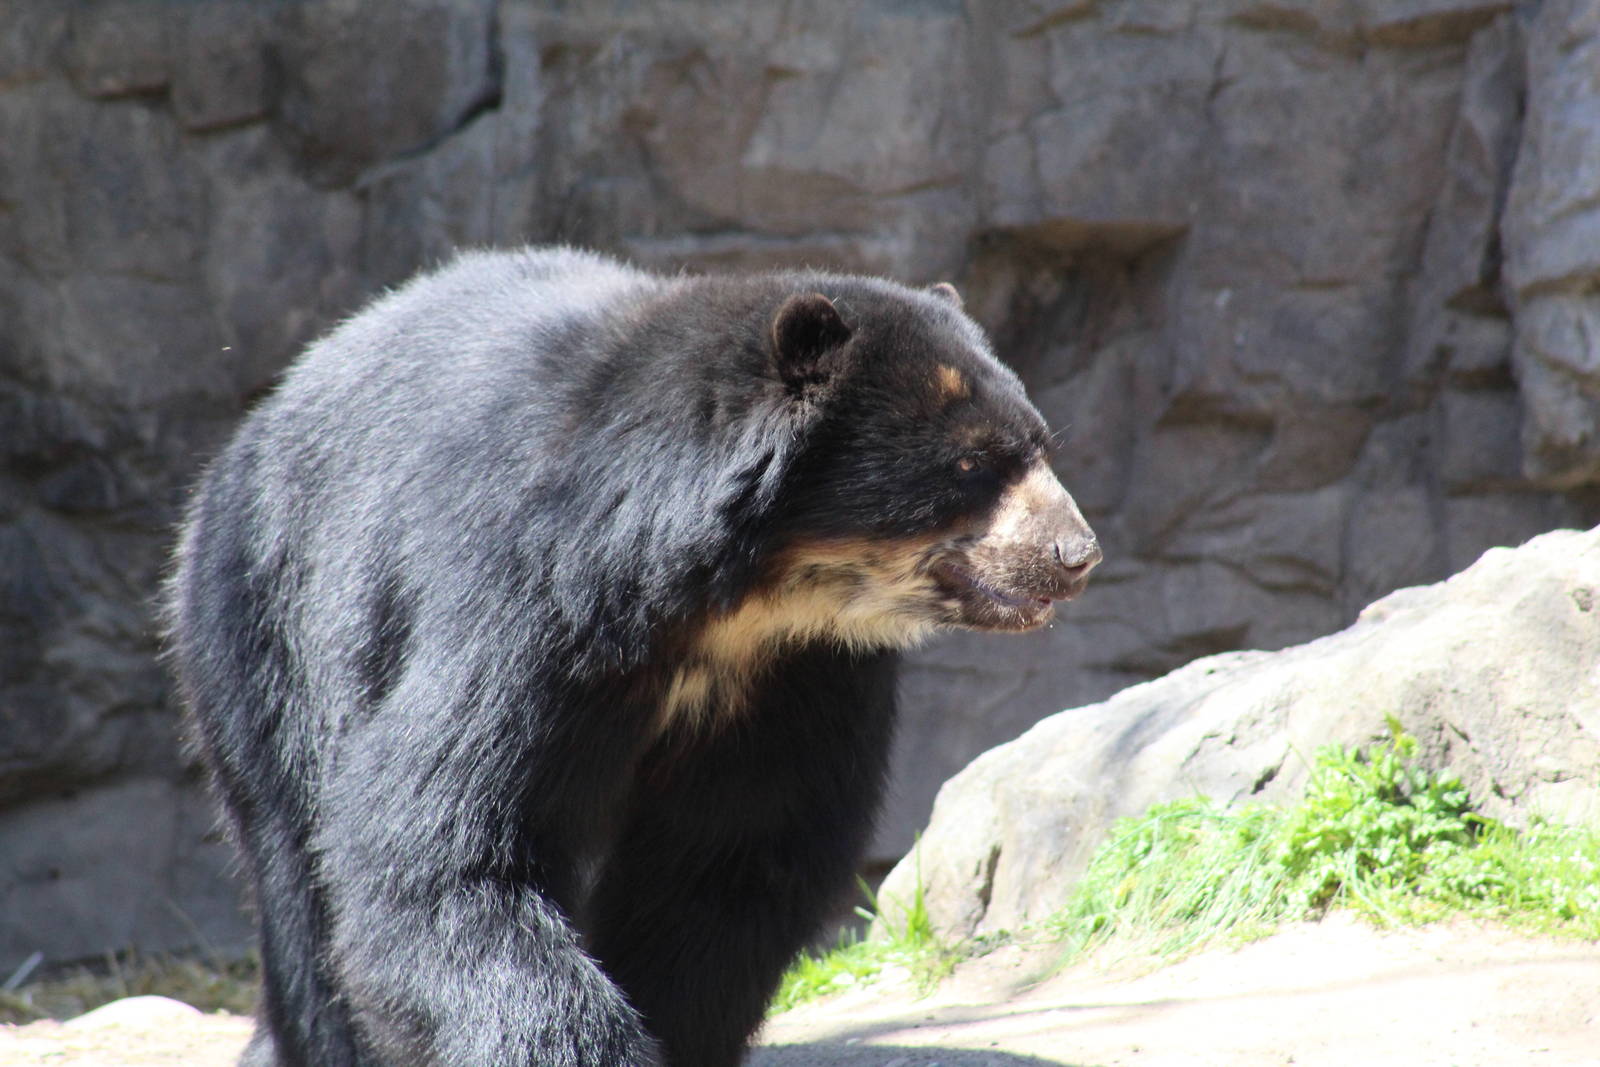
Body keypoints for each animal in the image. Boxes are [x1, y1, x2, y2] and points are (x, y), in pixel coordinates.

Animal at [167, 246, 1100, 1067]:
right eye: (972, 462)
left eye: (1040, 446)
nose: (1075, 554)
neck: (727, 605)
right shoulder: (528, 602)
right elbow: (446, 847)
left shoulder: (802, 673)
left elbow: (728, 858)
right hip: (268, 623)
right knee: (298, 875)